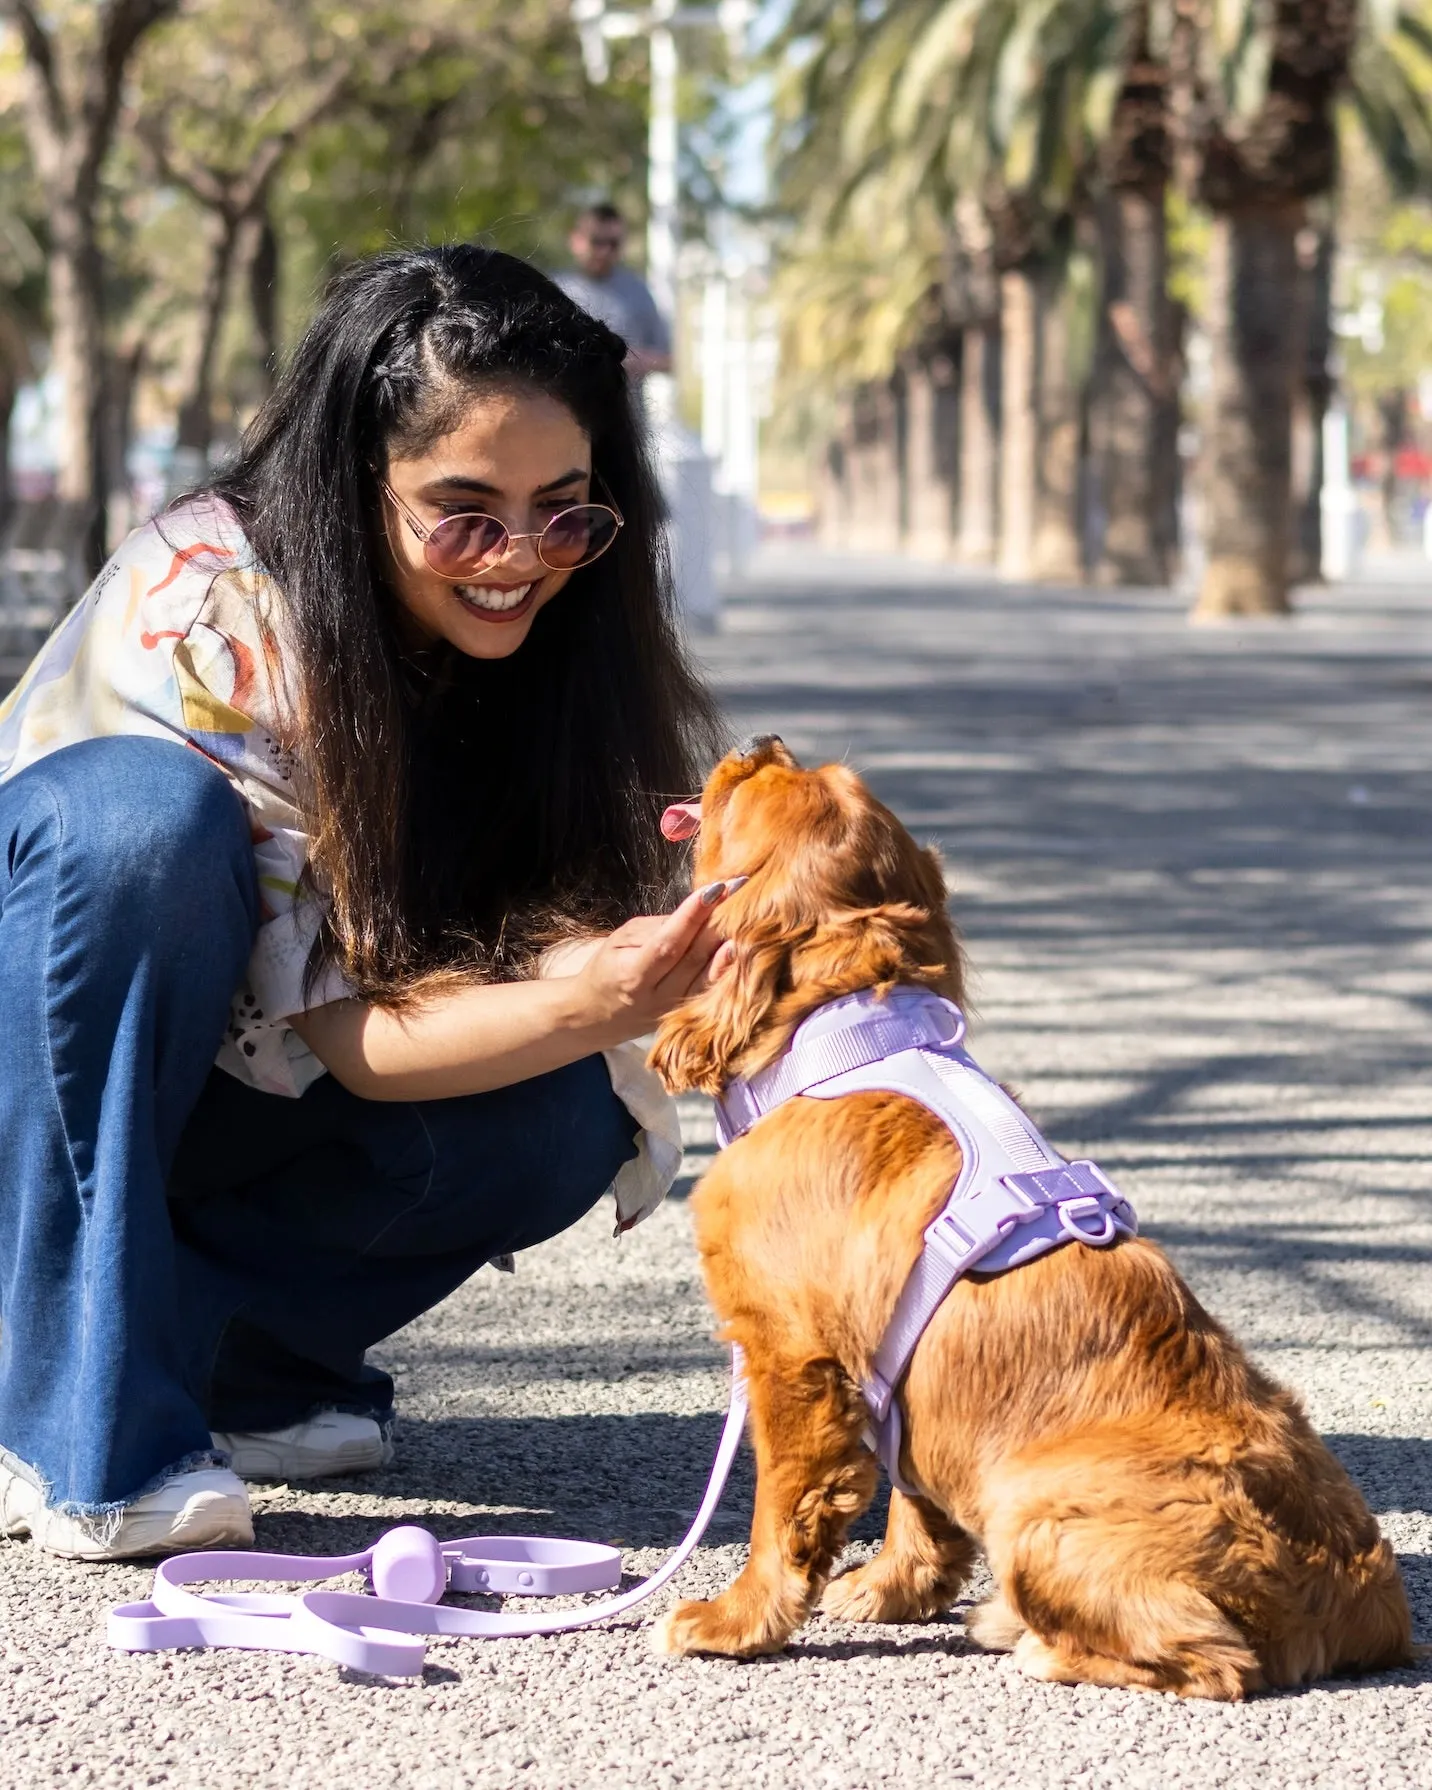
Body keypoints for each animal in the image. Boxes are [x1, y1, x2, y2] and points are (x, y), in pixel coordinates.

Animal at [644, 741, 1410, 1704]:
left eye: (756, 790)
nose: (760, 746)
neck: (847, 1038)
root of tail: (1362, 1600)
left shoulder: (790, 1360)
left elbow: (782, 1514)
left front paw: (734, 1624)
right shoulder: (898, 1377)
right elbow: (915, 1496)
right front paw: (895, 1589)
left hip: (1039, 1502)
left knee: (1213, 1661)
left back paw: (1030, 1637)